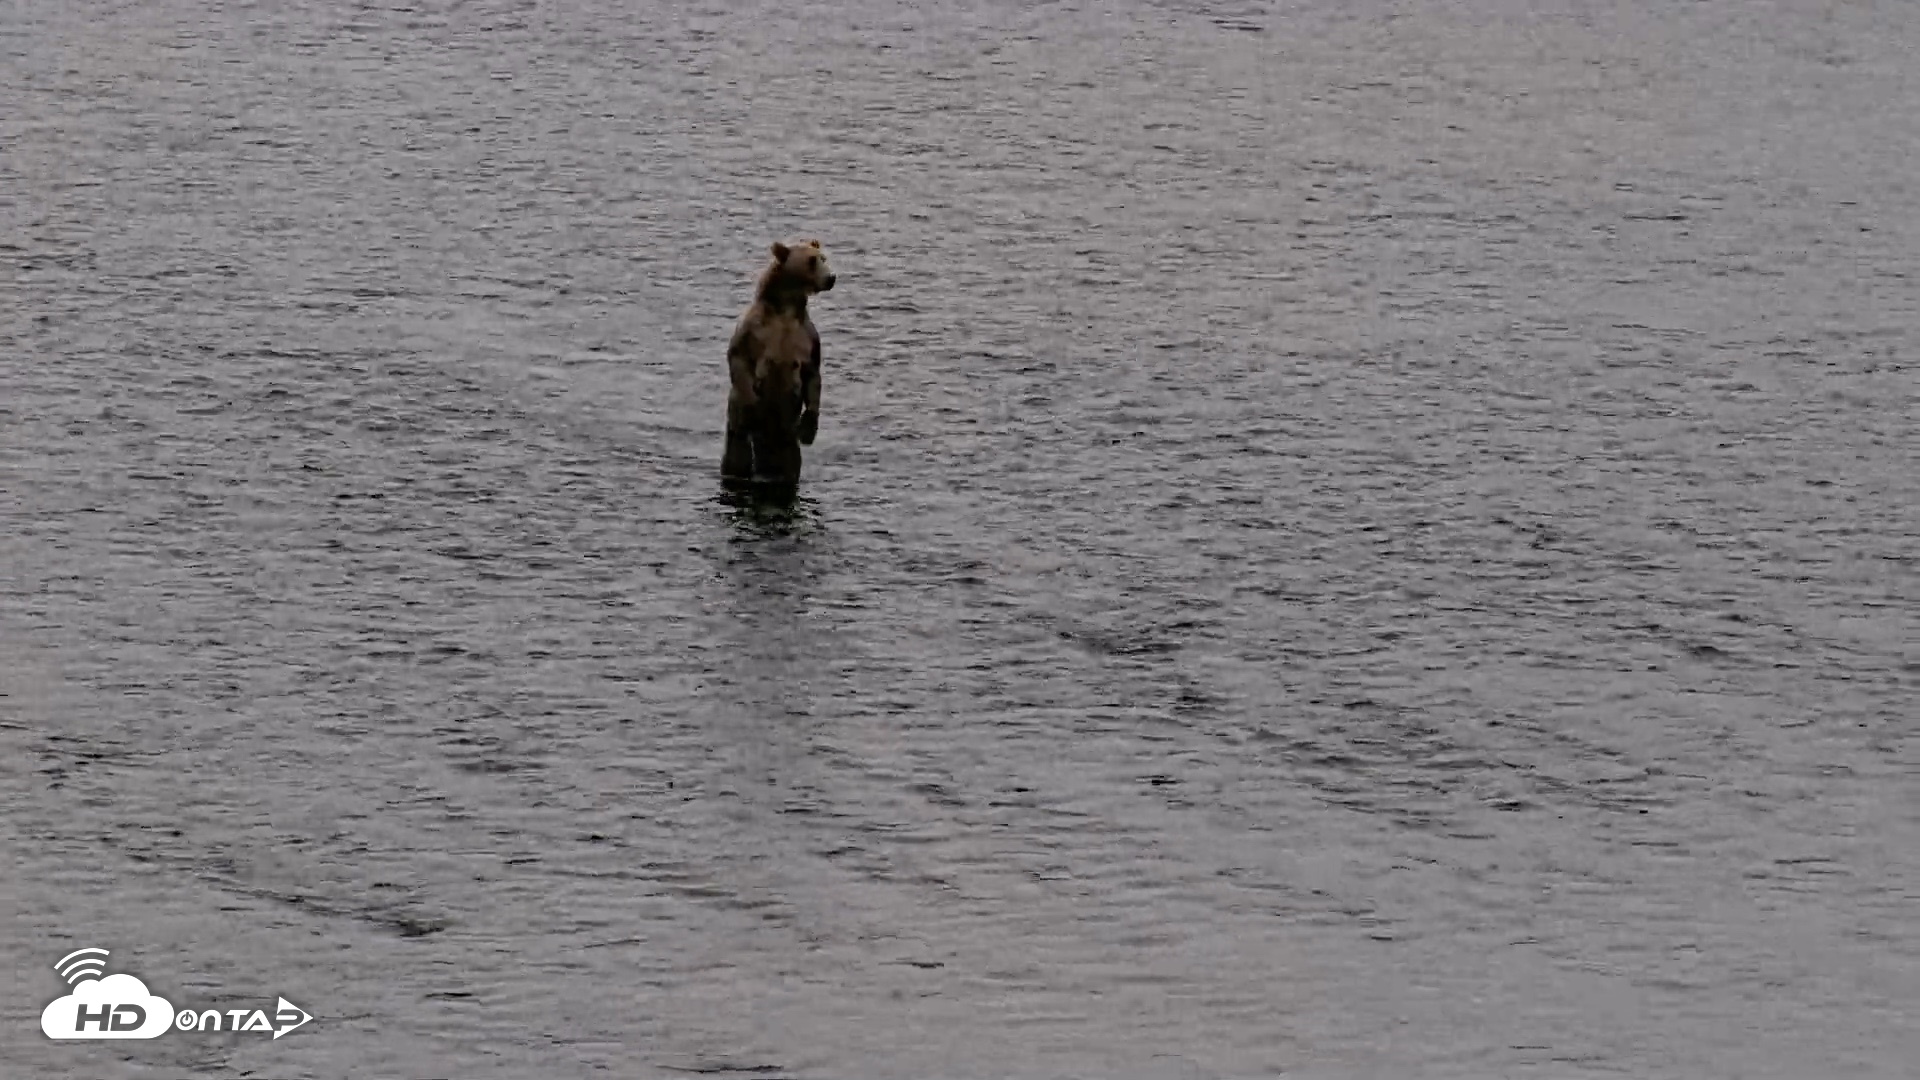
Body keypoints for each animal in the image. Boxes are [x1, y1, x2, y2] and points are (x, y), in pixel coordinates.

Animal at [721, 239, 836, 484]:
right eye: (812, 260)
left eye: (824, 258)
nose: (831, 277)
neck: (785, 310)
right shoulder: (754, 329)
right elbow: (738, 358)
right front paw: (751, 401)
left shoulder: (807, 338)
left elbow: (813, 374)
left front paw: (809, 427)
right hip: (738, 433)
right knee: (737, 456)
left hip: (787, 440)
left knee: (791, 463)